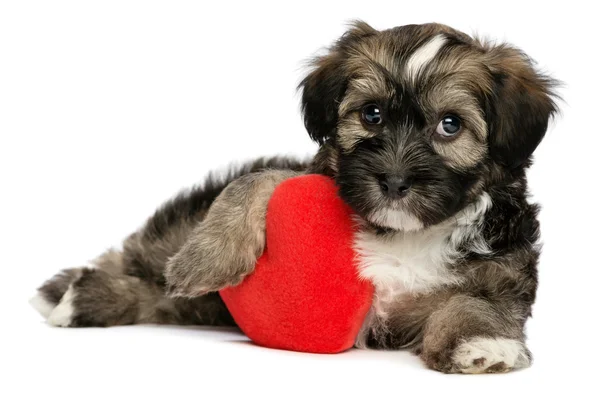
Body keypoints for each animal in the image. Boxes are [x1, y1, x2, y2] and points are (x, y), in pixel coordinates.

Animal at [30, 22, 556, 376]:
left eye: (451, 125)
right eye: (371, 114)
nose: (392, 180)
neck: (404, 233)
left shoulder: (504, 272)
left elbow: (479, 303)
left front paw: (484, 345)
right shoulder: (318, 176)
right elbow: (263, 179)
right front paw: (209, 256)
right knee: (148, 264)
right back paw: (77, 295)